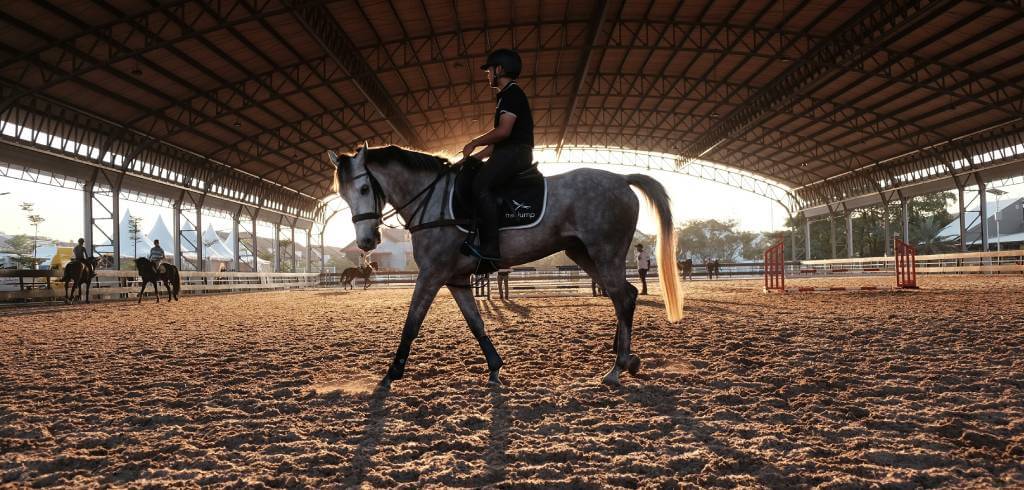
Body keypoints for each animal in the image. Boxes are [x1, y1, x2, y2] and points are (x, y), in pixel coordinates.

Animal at [328, 144, 683, 388]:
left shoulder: (432, 274)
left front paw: (392, 372)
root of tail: (622, 179)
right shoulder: (456, 279)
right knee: (626, 295)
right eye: (343, 196)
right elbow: (476, 323)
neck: (433, 200)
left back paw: (617, 367)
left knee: (622, 297)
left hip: (604, 252)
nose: (366, 241)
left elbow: (412, 323)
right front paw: (495, 367)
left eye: (364, 188)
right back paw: (626, 357)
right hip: (583, 254)